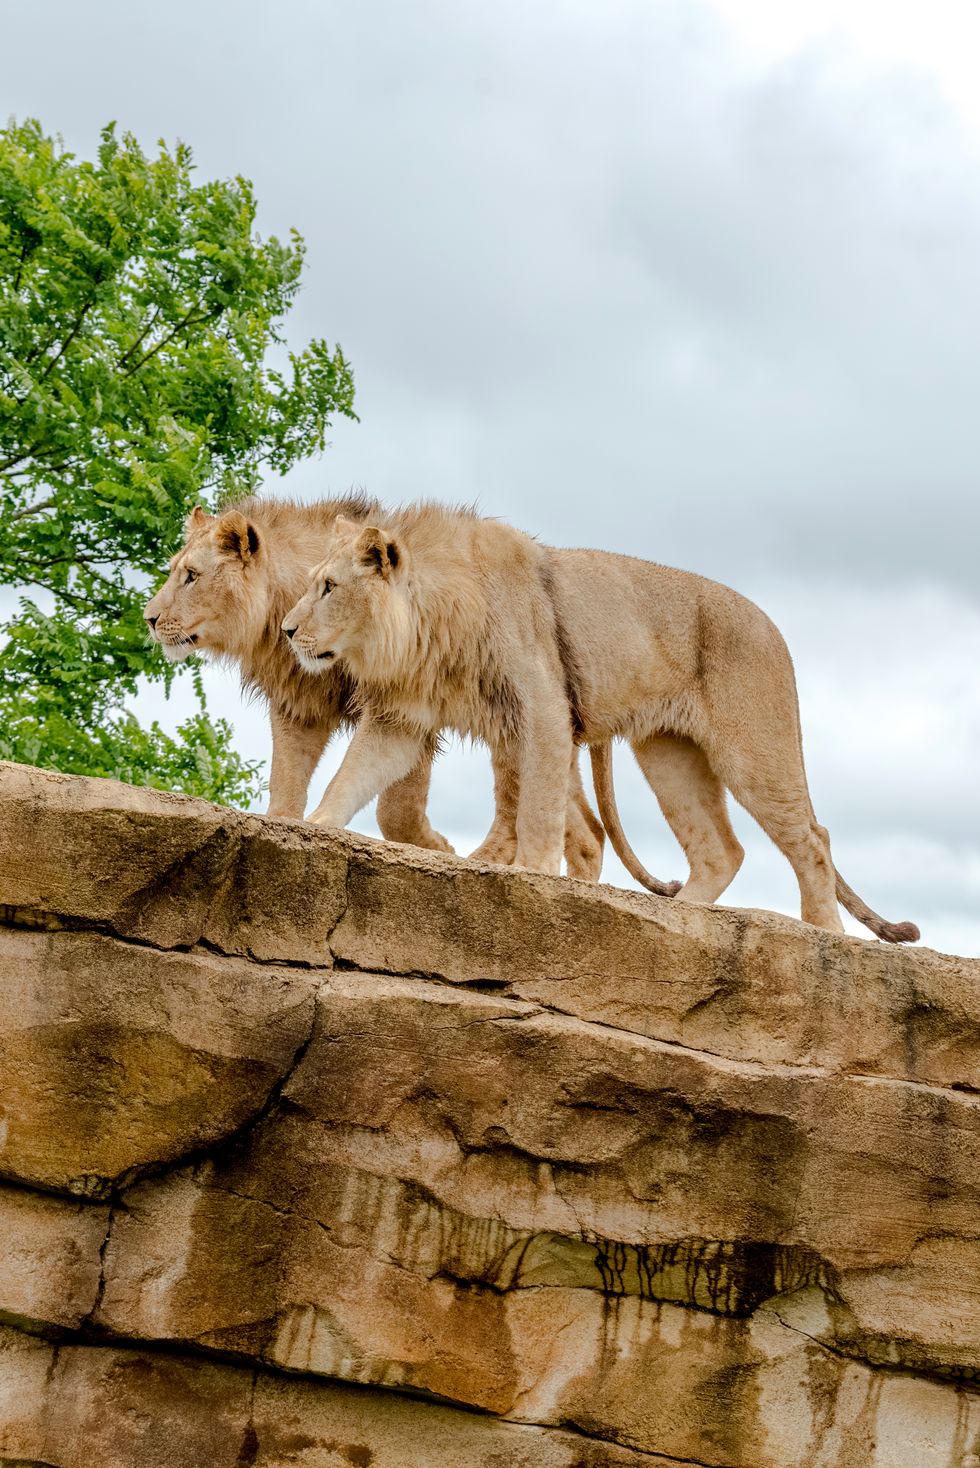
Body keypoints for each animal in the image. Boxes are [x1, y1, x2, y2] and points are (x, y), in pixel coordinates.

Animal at [143, 497, 604, 876]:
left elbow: (396, 808)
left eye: (190, 576)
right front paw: (283, 834)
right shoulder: (301, 706)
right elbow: (286, 783)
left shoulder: (410, 695)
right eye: (173, 572)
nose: (148, 618)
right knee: (585, 825)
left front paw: (439, 850)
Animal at [283, 504, 918, 942]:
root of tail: (775, 627)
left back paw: (824, 934)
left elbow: (538, 811)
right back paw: (678, 916)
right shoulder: (402, 717)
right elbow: (351, 777)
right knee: (722, 850)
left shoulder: (543, 708)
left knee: (813, 838)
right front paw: (311, 829)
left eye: (329, 587)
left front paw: (533, 877)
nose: (288, 631)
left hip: (754, 746)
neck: (426, 625)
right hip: (667, 753)